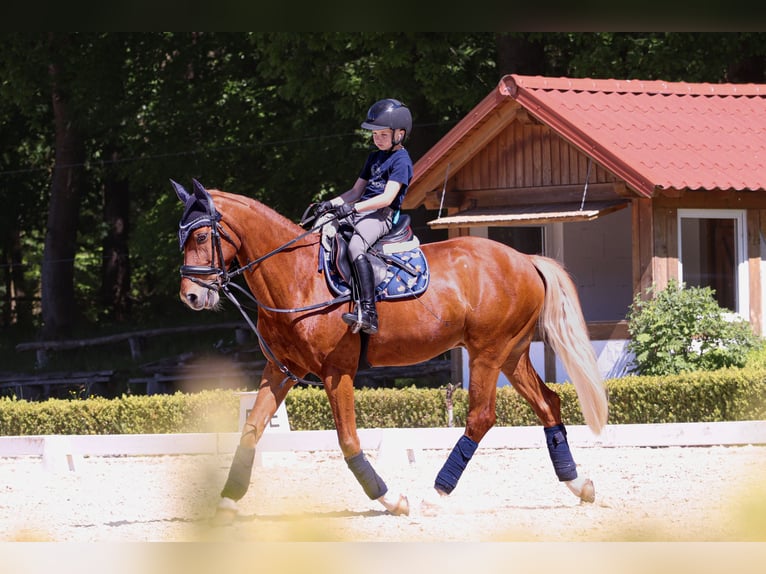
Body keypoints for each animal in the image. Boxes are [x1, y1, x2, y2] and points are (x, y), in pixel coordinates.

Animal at [173, 178, 609, 521]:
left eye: (201, 236)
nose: (191, 296)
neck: (297, 277)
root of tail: (524, 259)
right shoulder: (281, 369)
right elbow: (251, 430)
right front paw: (228, 501)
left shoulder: (336, 372)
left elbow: (349, 441)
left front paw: (391, 499)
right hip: (512, 354)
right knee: (548, 403)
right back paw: (579, 485)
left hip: (487, 353)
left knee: (481, 417)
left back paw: (436, 494)